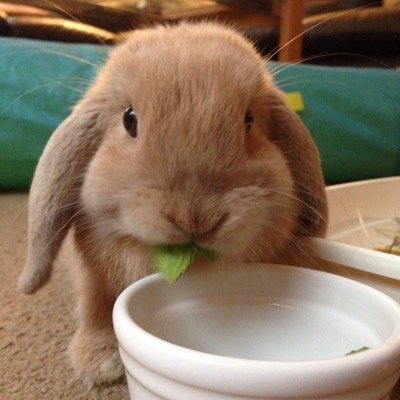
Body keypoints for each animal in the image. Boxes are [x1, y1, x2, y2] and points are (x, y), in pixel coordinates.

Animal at [17, 22, 326, 388]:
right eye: (129, 120)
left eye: (249, 120)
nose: (195, 218)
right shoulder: (93, 277)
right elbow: (96, 307)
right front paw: (101, 364)